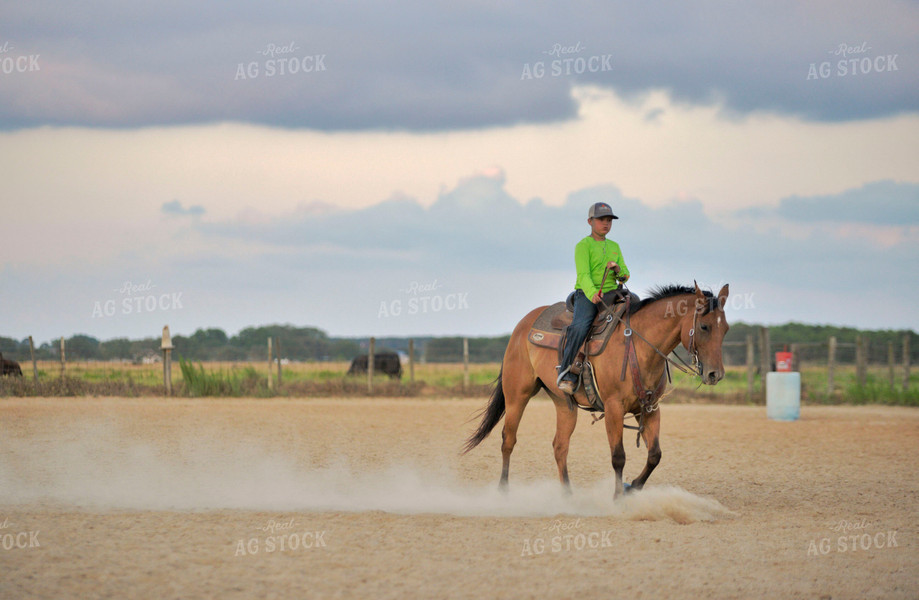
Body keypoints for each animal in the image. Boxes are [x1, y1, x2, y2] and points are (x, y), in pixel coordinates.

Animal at [464, 284, 728, 500]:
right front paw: (617, 497)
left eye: (724, 329)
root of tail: (523, 325)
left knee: (559, 446)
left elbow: (655, 455)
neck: (639, 346)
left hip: (564, 404)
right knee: (508, 440)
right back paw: (503, 491)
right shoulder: (613, 408)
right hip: (517, 394)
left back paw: (568, 496)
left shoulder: (650, 408)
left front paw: (632, 487)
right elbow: (618, 456)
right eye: (704, 326)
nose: (715, 374)